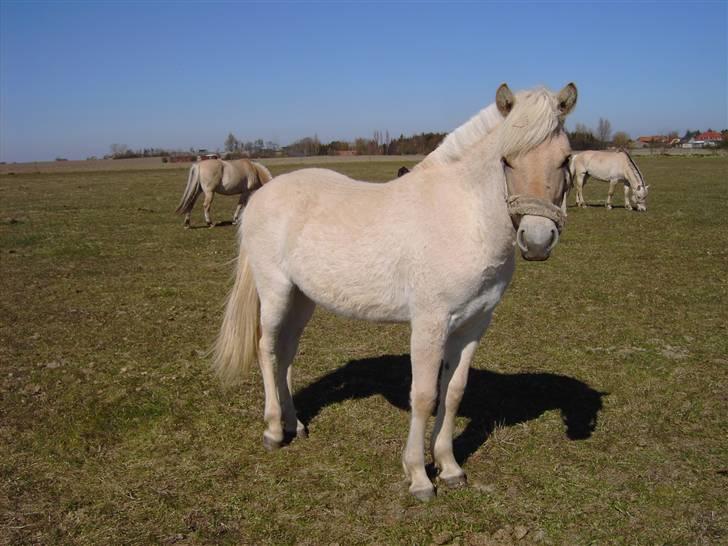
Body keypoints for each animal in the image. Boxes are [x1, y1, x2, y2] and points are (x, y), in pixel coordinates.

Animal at [213, 82, 576, 498]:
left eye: (565, 159)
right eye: (507, 160)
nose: (537, 241)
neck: (463, 216)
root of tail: (262, 193)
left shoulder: (473, 325)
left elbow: (453, 392)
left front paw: (449, 467)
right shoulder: (430, 323)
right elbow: (424, 396)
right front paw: (418, 476)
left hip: (302, 299)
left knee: (286, 354)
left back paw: (295, 425)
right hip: (275, 291)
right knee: (267, 349)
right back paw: (274, 430)